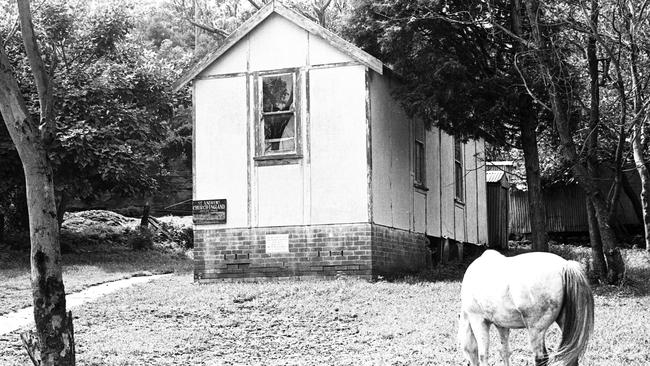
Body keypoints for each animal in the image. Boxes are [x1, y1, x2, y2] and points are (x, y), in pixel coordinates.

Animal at [456, 250, 592, 364]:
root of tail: (565, 265)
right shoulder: (502, 325)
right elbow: (505, 352)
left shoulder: (478, 321)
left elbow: (483, 355)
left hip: (536, 330)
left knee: (540, 358)